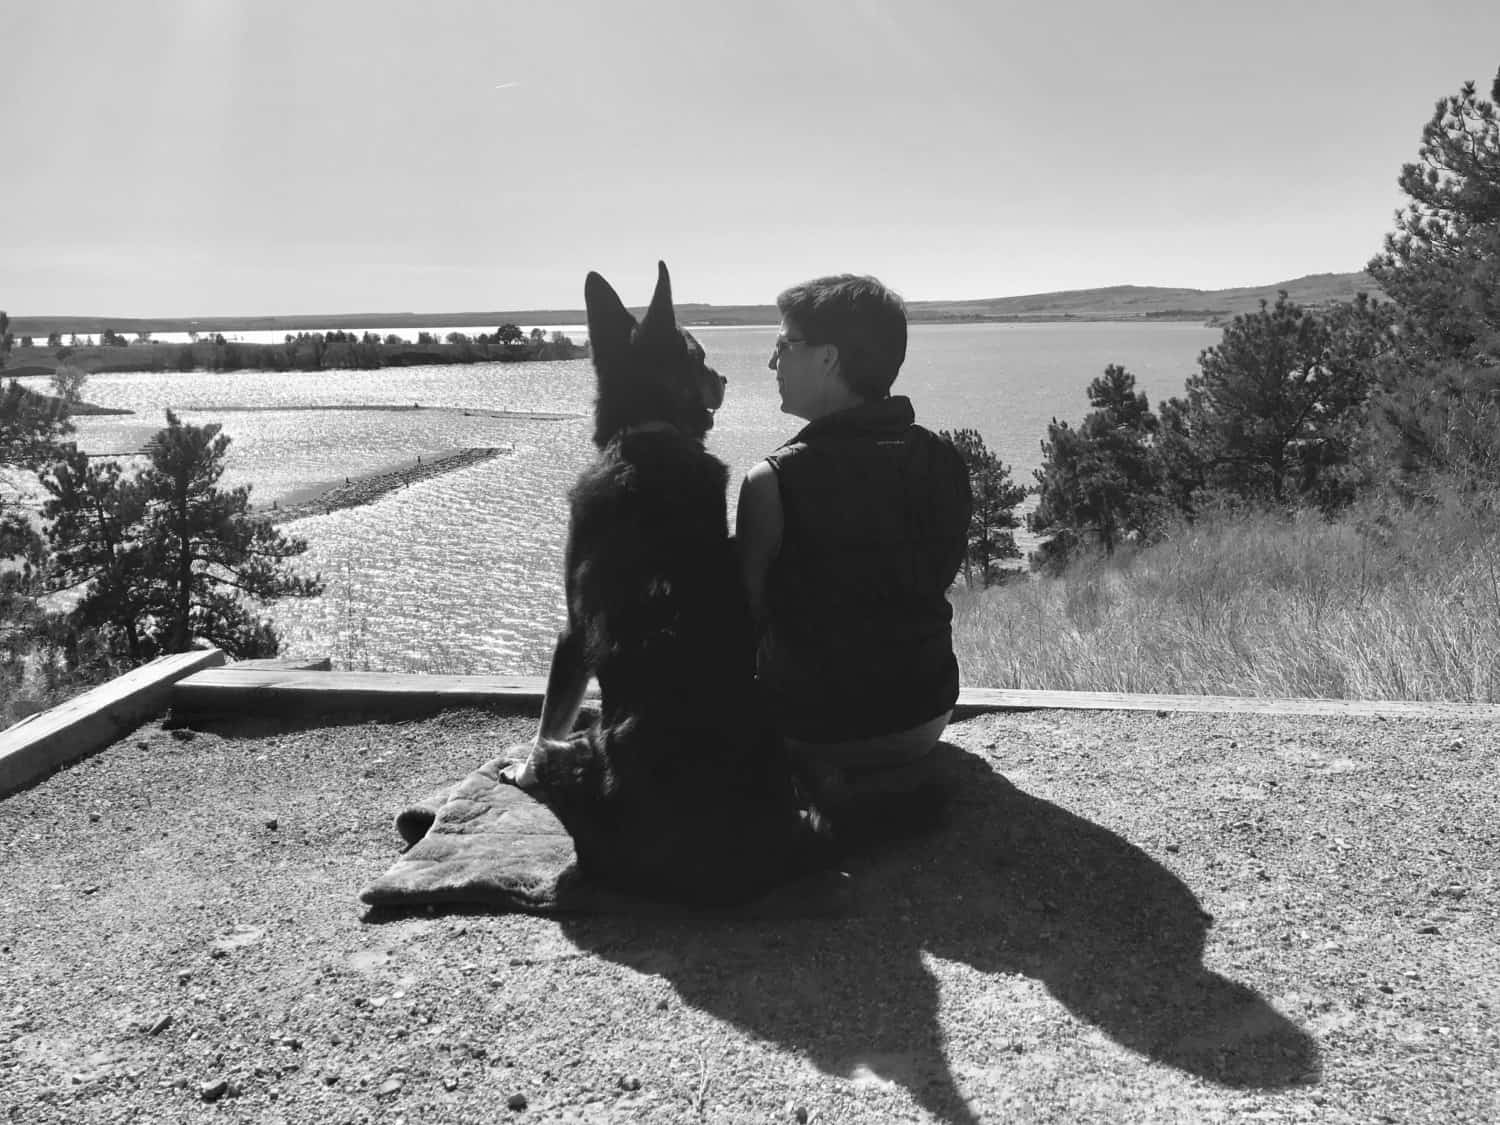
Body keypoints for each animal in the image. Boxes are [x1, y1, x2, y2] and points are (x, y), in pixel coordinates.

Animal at [507, 262, 834, 906]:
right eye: (702, 356)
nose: (726, 375)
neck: (645, 434)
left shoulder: (571, 635)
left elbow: (548, 715)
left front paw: (517, 768)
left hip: (574, 760)